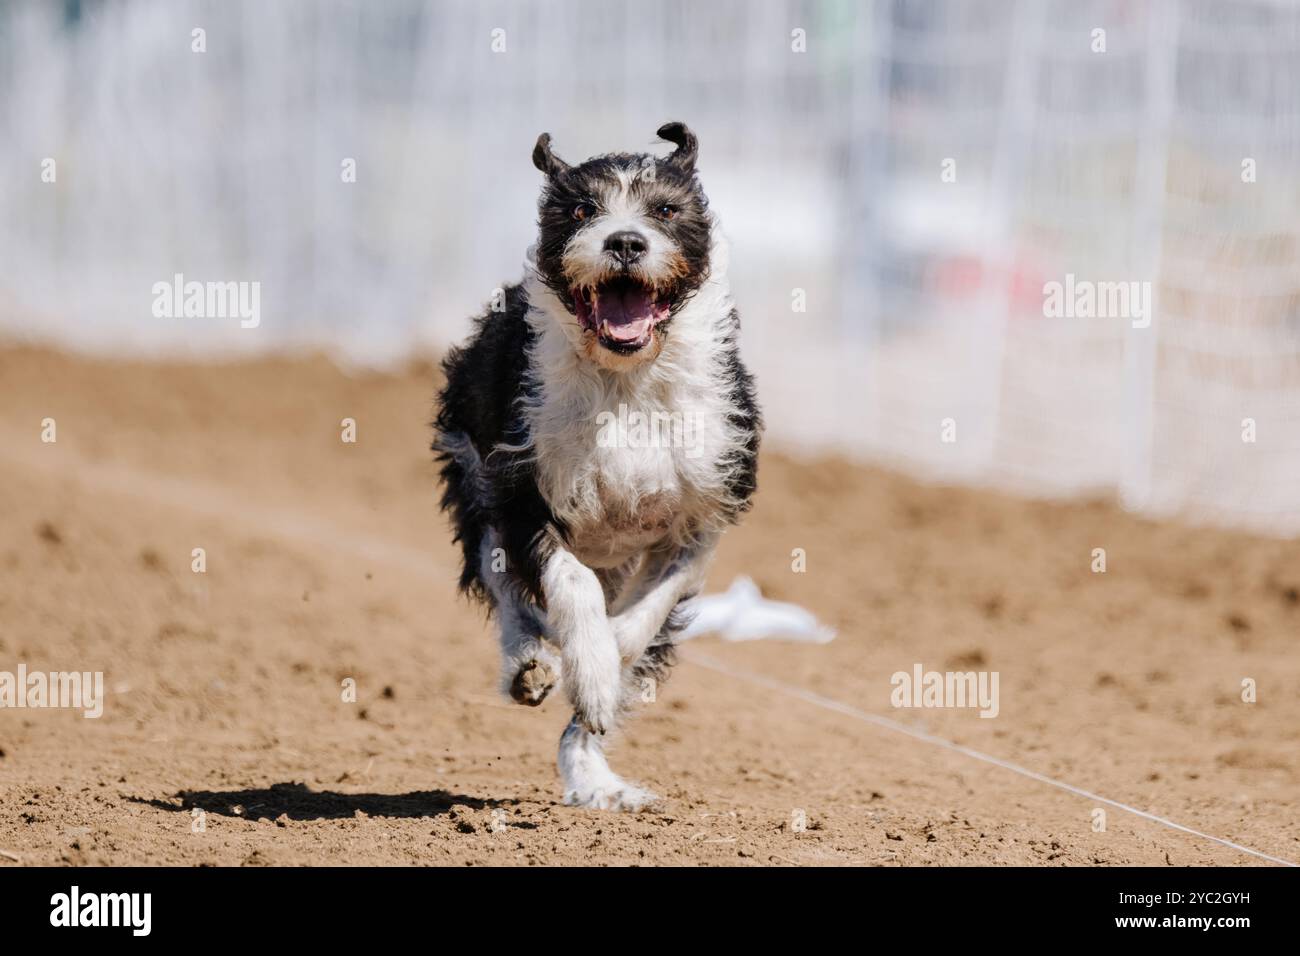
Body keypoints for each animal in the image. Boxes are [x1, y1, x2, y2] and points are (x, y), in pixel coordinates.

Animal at [436, 117, 759, 806]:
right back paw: (531, 665)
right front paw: (584, 664)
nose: (626, 242)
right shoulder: (521, 490)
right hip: (474, 483)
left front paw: (605, 676)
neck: (625, 379)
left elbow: (645, 617)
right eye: (583, 209)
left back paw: (595, 777)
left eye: (665, 209)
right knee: (505, 585)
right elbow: (569, 583)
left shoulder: (703, 512)